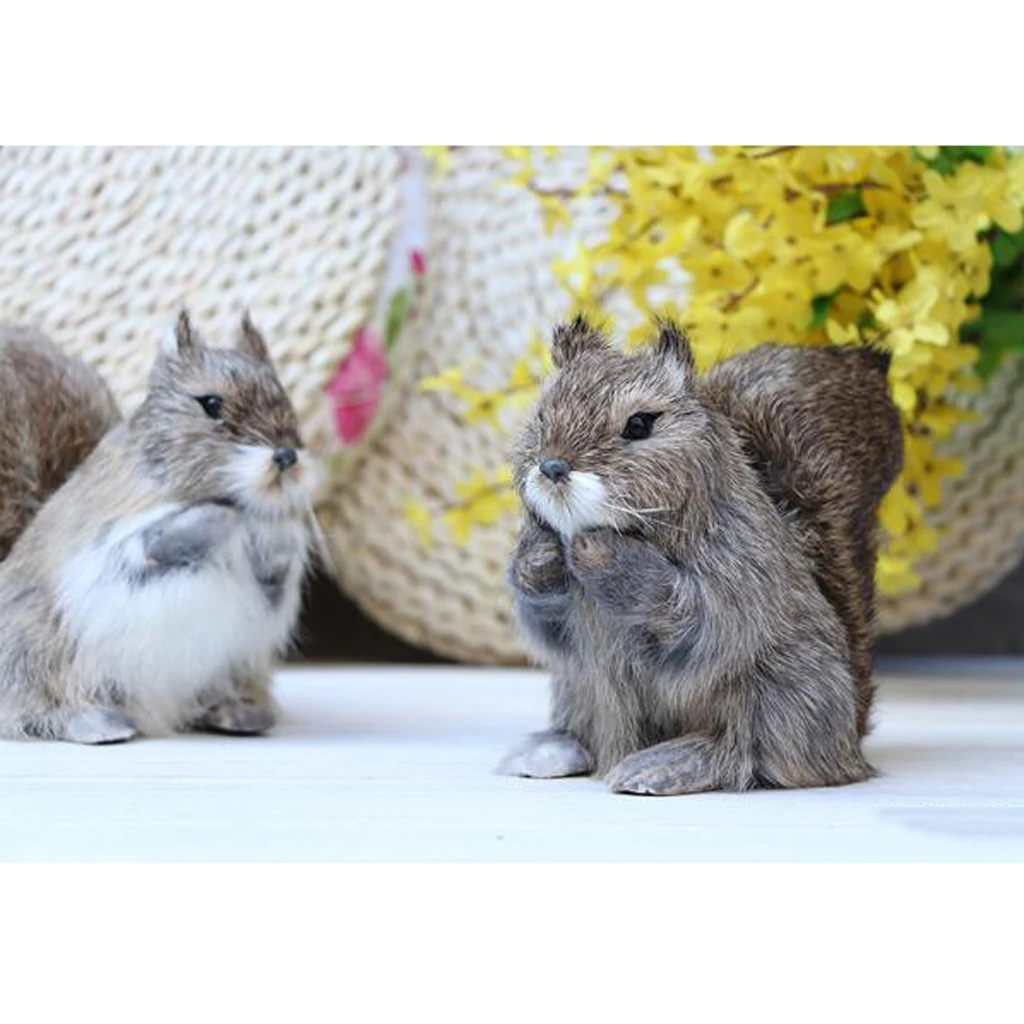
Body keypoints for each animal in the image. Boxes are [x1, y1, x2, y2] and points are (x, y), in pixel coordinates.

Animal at [0, 312, 319, 743]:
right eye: (210, 403)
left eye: (284, 396)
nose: (286, 456)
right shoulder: (110, 550)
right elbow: (156, 543)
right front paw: (231, 519)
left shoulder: (270, 592)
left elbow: (274, 575)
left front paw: (279, 533)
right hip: (34, 654)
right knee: (37, 709)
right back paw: (98, 723)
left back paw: (239, 715)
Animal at [498, 316, 903, 795]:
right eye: (542, 414)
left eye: (639, 424)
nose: (552, 467)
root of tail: (850, 739)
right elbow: (546, 624)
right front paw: (539, 556)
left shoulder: (745, 568)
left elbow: (702, 618)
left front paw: (611, 559)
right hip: (576, 688)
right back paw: (553, 749)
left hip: (787, 693)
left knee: (754, 754)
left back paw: (671, 763)